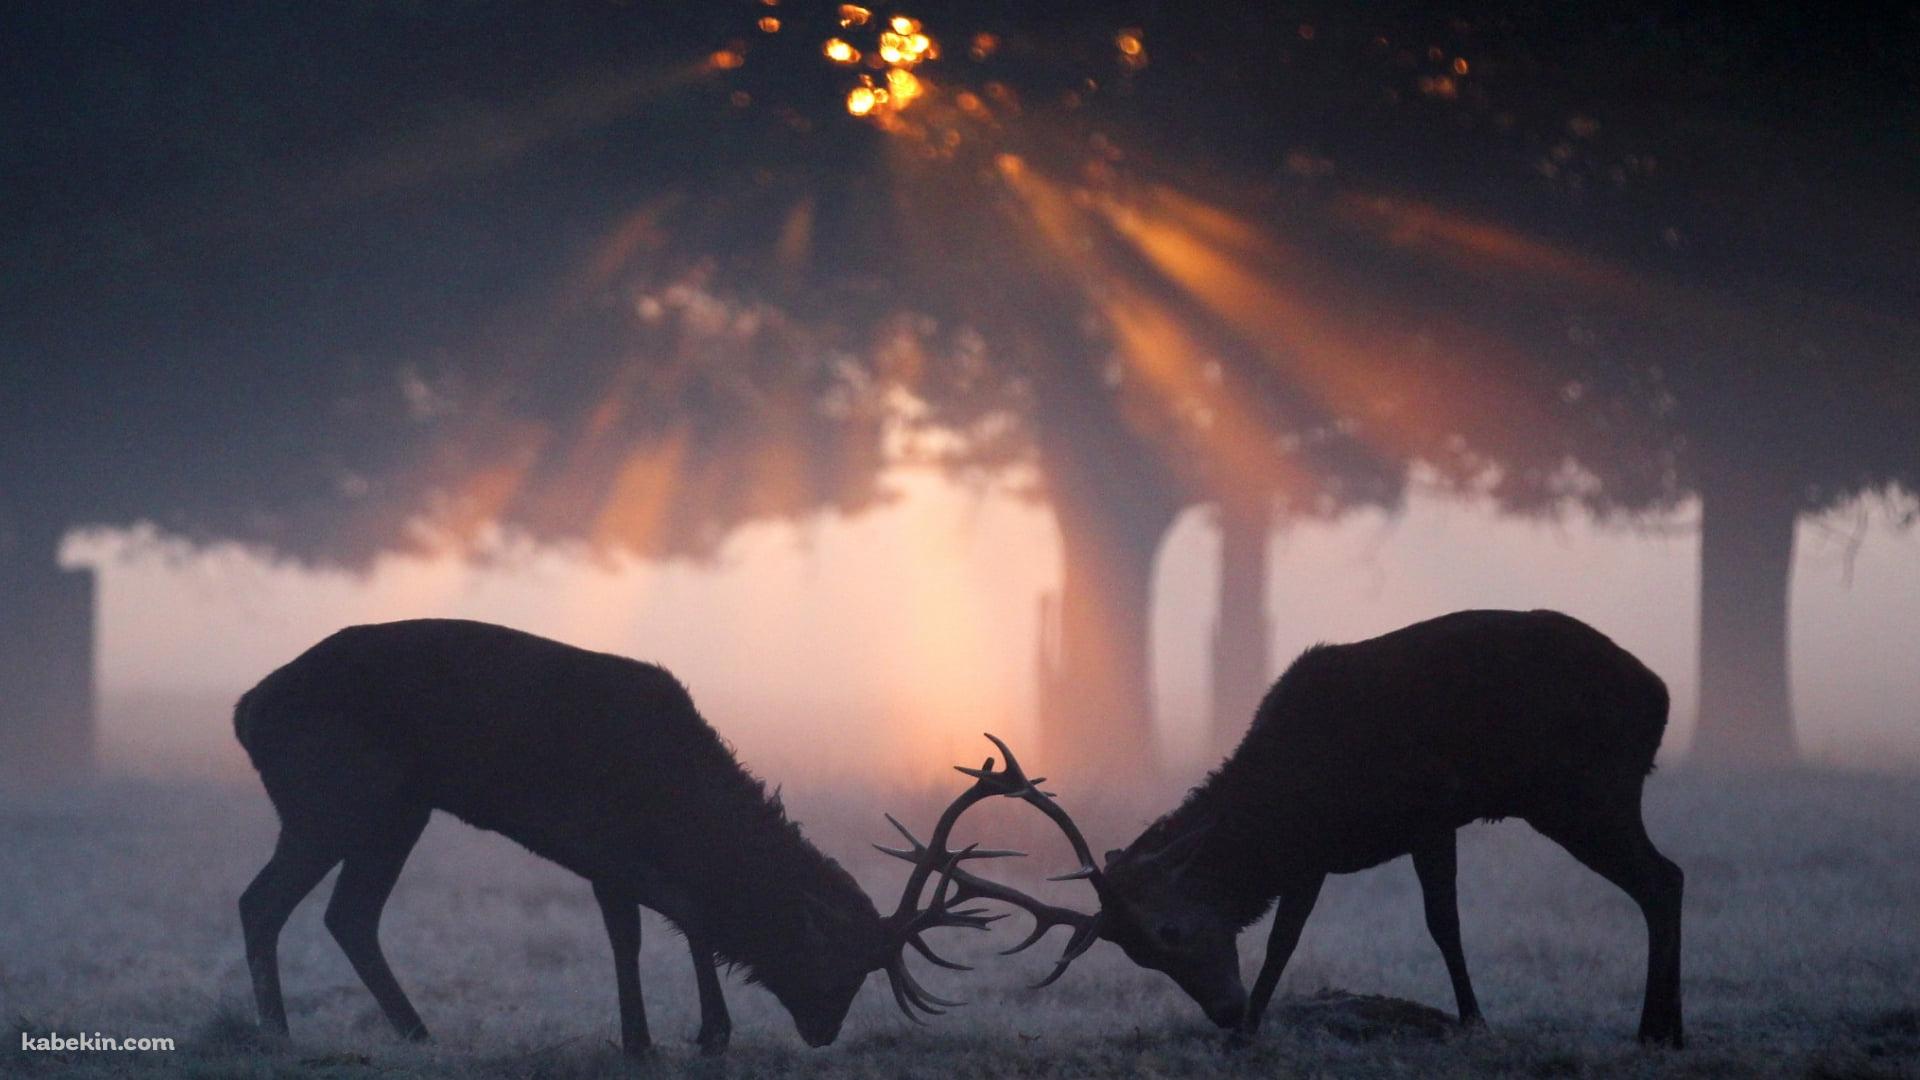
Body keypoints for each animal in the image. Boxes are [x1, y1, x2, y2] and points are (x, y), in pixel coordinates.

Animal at [234, 619, 1018, 1055]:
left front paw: (677, 1036)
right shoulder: (604, 844)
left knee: (348, 915)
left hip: (397, 811)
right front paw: (685, 1037)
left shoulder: (617, 859)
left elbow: (667, 927)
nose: (824, 1032)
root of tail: (244, 712)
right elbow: (658, 930)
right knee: (261, 902)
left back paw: (417, 1032)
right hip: (332, 797)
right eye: (840, 960)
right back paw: (277, 1034)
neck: (677, 804)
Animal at [936, 610, 1687, 1048]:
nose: (1223, 1011)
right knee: (1666, 877)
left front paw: (1473, 1021)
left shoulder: (1416, 817)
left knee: (1664, 878)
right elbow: (1300, 935)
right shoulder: (1326, 849)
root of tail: (1660, 696)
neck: (1287, 803)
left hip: (1584, 793)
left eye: (1171, 931)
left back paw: (1659, 1031)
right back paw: (1665, 1028)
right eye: (1140, 957)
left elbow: (1419, 925)